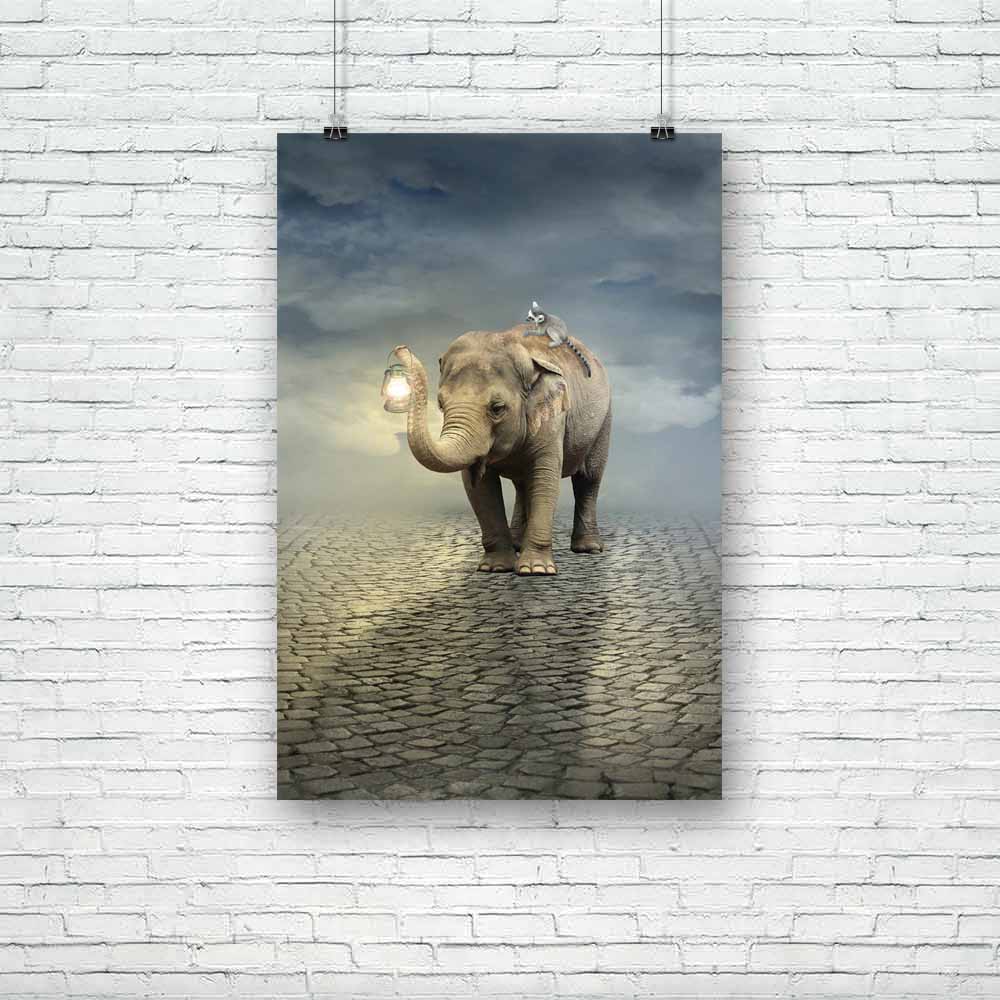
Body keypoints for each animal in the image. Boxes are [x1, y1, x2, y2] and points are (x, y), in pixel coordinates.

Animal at [394, 324, 611, 577]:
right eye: (441, 404)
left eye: (497, 408)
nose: (401, 348)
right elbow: (479, 486)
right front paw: (495, 568)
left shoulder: (554, 418)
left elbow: (545, 478)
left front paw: (536, 570)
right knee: (523, 485)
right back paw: (517, 543)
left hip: (604, 421)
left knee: (589, 479)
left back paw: (588, 549)